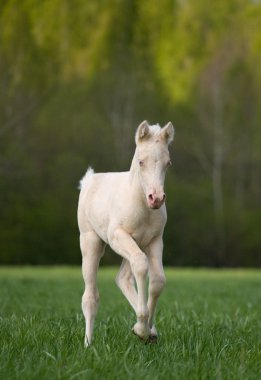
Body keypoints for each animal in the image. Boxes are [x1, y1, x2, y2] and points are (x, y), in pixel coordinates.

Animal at [77, 120, 175, 346]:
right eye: (141, 162)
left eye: (168, 163)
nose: (156, 198)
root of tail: (89, 180)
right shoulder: (117, 236)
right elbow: (141, 265)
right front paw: (142, 329)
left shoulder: (154, 241)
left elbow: (158, 280)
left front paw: (146, 330)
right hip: (91, 241)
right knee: (90, 296)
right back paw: (88, 343)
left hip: (136, 243)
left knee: (122, 278)